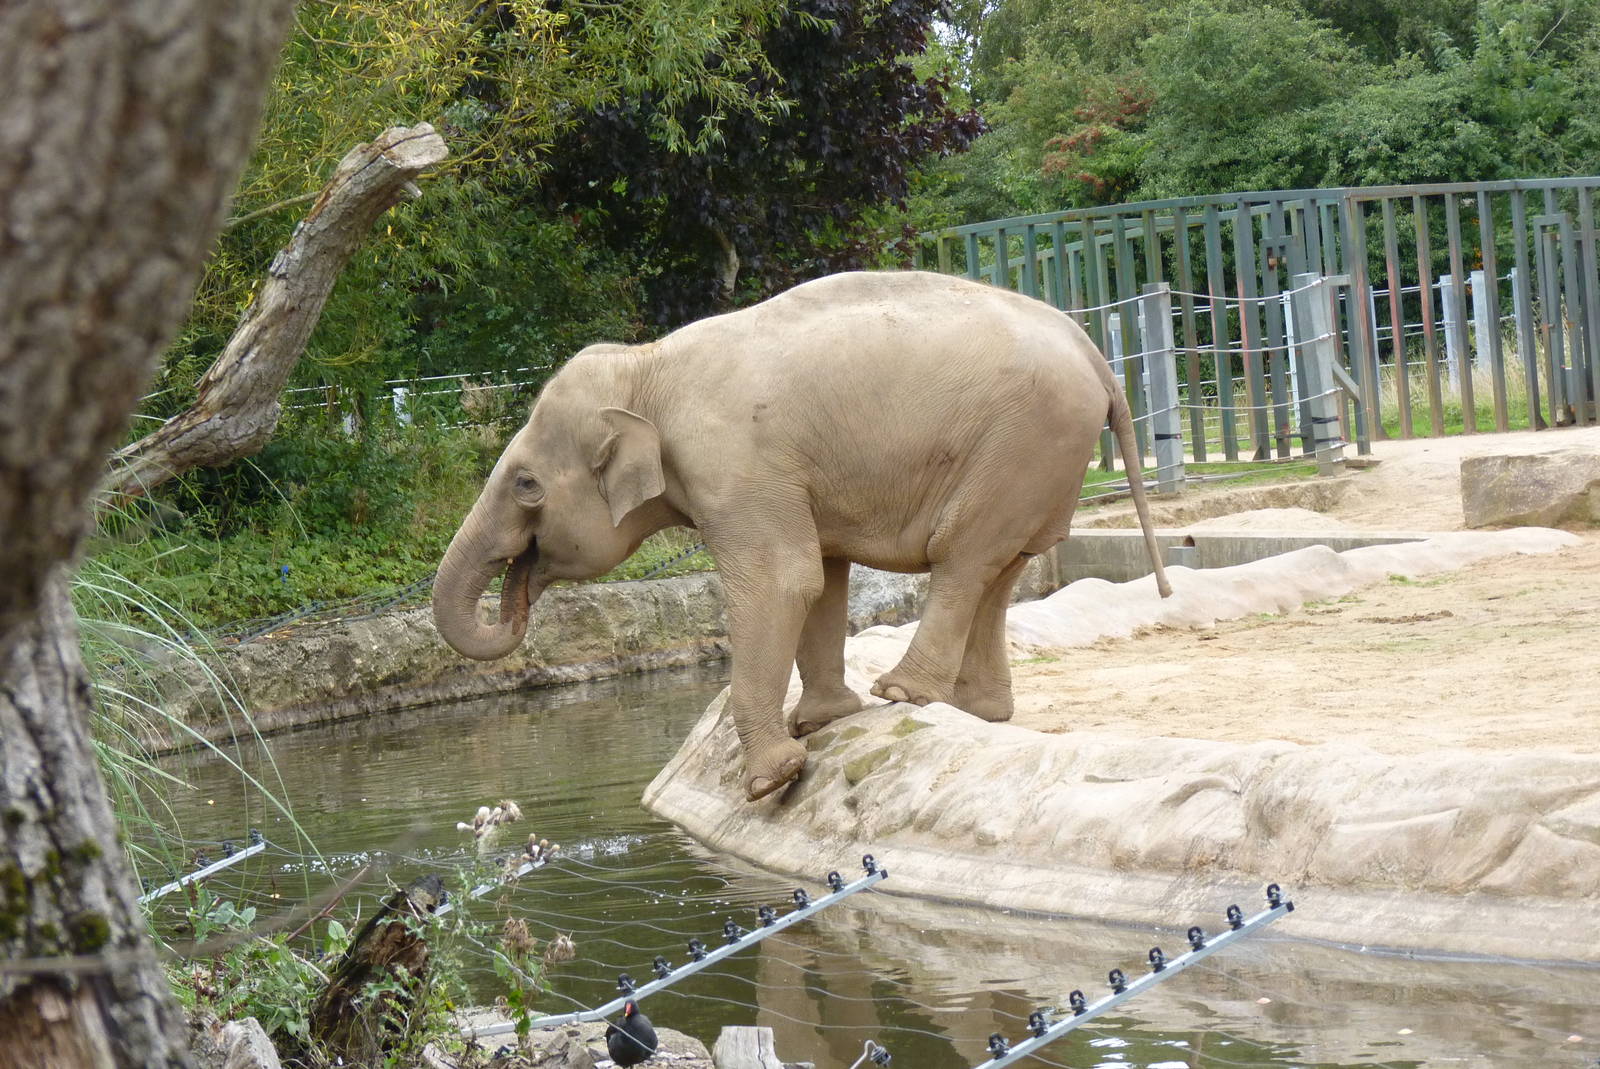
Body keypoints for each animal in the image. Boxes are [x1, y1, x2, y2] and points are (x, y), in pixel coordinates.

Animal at [432, 270, 1171, 801]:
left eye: (525, 484)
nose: (519, 587)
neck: (646, 367)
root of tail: (1095, 354)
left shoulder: (735, 465)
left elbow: (782, 580)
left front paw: (773, 778)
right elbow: (822, 575)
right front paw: (821, 723)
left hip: (1023, 442)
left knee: (962, 555)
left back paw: (902, 695)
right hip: (1045, 459)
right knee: (1003, 563)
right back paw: (976, 709)